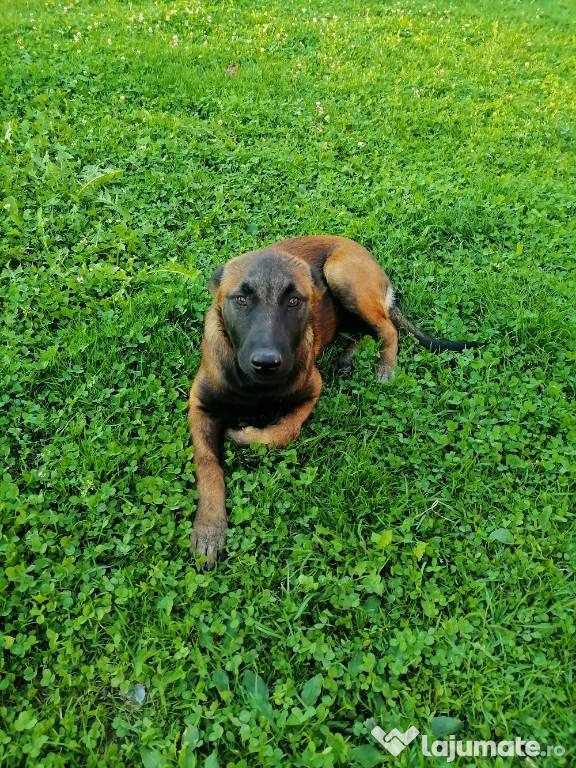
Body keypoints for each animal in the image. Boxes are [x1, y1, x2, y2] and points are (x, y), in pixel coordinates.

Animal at [188, 237, 476, 568]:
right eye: (241, 300)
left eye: (294, 301)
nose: (266, 363)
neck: (254, 386)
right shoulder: (199, 406)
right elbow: (208, 464)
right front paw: (209, 527)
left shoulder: (312, 389)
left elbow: (283, 432)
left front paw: (244, 435)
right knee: (368, 330)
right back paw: (349, 357)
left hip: (341, 274)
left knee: (387, 329)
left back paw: (384, 366)